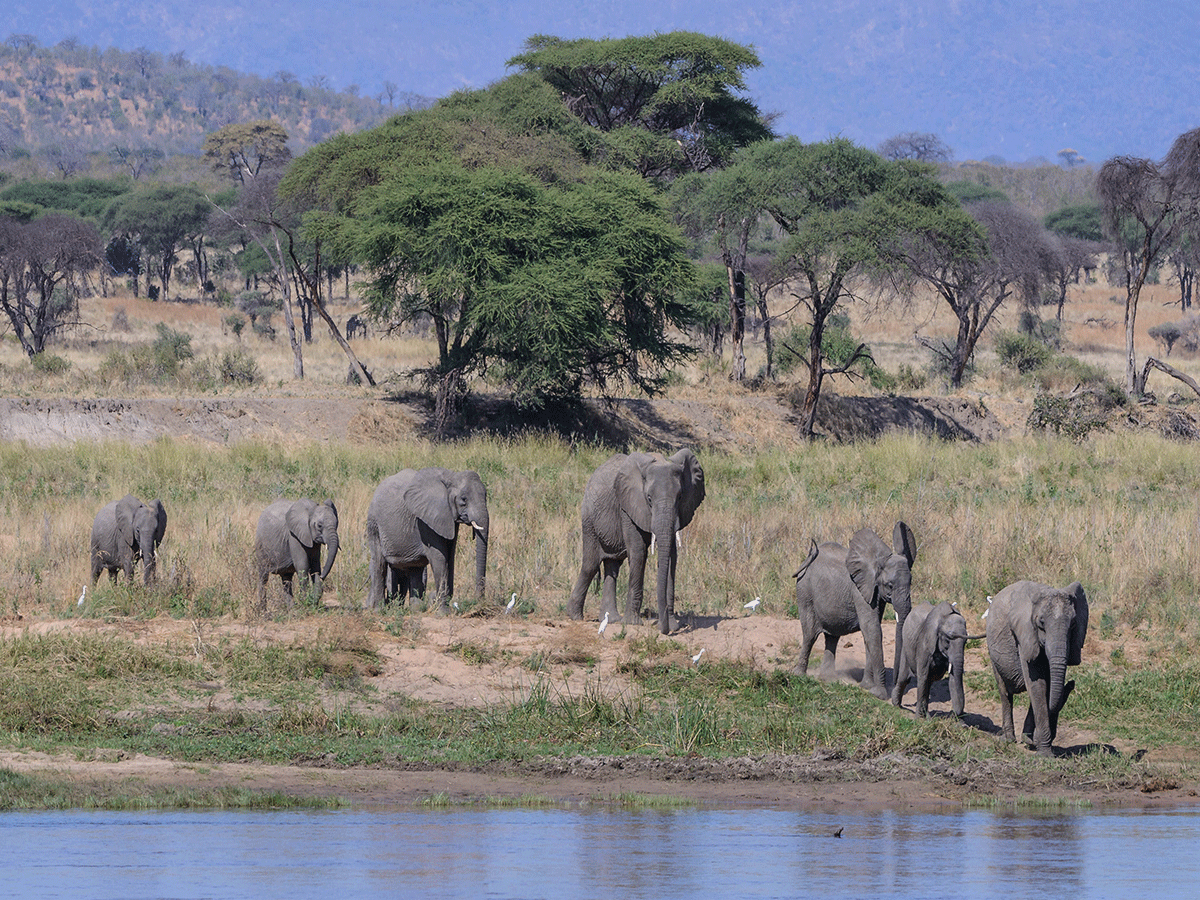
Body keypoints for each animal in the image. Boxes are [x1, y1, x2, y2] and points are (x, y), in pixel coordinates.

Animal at [369, 468, 492, 609]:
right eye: (464, 499)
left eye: (486, 496)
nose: (479, 601)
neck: (451, 476)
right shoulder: (425, 521)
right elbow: (439, 557)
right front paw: (443, 610)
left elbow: (450, 556)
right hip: (374, 524)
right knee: (379, 563)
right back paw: (379, 610)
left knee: (415, 567)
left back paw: (416, 610)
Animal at [568, 448, 705, 633]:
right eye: (649, 498)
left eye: (680, 496)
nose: (663, 628)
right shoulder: (627, 507)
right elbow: (638, 552)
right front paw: (632, 623)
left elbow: (671, 556)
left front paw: (673, 625)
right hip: (589, 519)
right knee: (590, 565)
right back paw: (574, 616)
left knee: (612, 566)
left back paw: (612, 619)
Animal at [792, 520, 912, 705]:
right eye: (890, 585)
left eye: (911, 583)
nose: (896, 687)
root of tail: (808, 557)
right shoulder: (859, 590)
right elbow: (872, 630)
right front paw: (878, 694)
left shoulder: (875, 593)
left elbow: (869, 631)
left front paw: (866, 686)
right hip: (805, 592)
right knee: (810, 634)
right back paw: (800, 675)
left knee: (832, 637)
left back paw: (827, 678)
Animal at [984, 578, 1089, 763]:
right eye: (1041, 623)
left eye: (1073, 624)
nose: (1071, 683)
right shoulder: (1024, 635)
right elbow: (1038, 684)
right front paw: (1045, 755)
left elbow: (1046, 685)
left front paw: (1034, 743)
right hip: (992, 651)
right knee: (1004, 692)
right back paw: (1009, 740)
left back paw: (1027, 739)